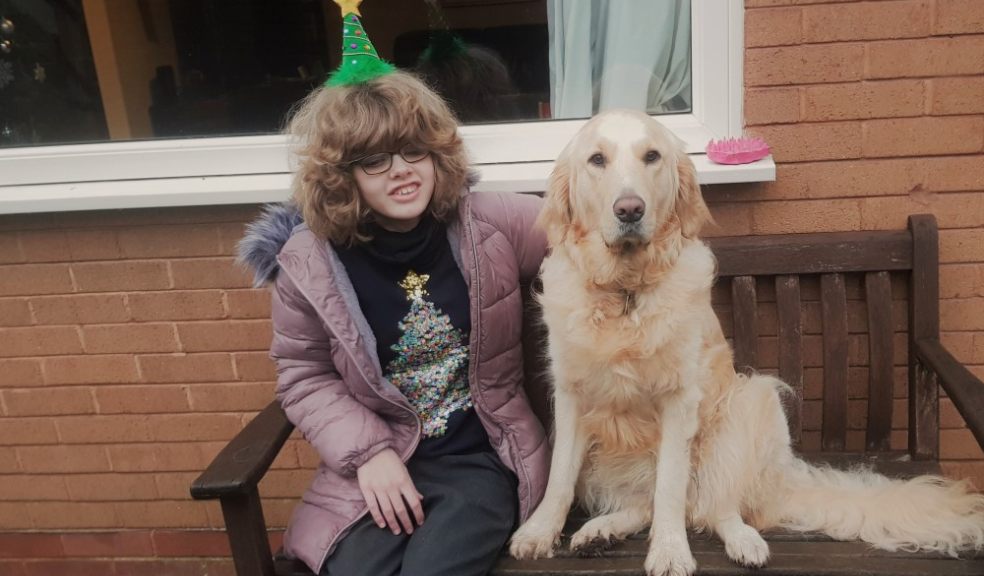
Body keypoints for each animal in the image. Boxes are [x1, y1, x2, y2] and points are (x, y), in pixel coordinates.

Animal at [508, 109, 984, 576]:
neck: (626, 293)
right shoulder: (571, 395)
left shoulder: (680, 399)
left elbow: (669, 489)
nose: (630, 209)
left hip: (752, 401)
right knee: (651, 505)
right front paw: (539, 532)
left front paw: (670, 552)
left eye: (652, 156)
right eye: (597, 160)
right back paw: (599, 531)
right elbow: (559, 478)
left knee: (712, 507)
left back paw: (744, 542)